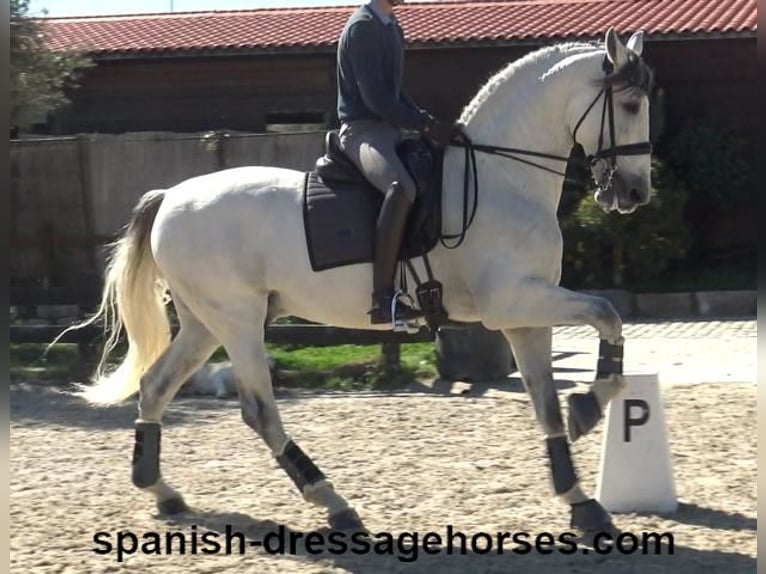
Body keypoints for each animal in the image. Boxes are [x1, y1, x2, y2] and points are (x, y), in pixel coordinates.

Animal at [75, 27, 656, 540]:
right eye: (630, 106)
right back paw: (335, 505)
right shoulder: (514, 301)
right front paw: (590, 408)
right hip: (237, 321)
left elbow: (547, 400)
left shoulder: (524, 315)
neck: (503, 178)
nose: (635, 193)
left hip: (203, 323)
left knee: (155, 386)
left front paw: (581, 501)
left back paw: (162, 492)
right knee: (259, 410)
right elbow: (607, 313)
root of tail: (171, 195)